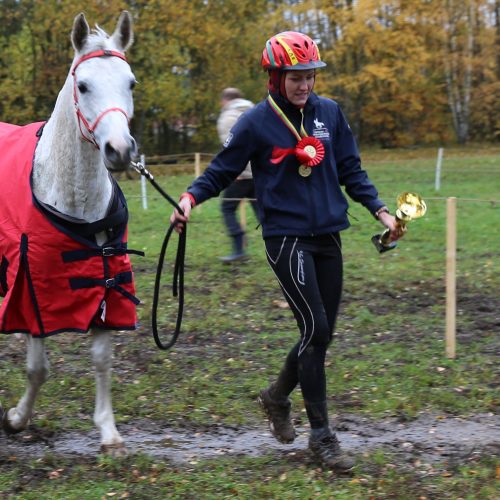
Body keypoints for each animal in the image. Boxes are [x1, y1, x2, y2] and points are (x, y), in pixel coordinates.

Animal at [1, 10, 139, 458]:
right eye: (83, 85)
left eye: (131, 82)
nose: (119, 150)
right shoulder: (31, 291)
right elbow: (37, 368)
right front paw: (16, 419)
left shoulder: (107, 284)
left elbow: (101, 360)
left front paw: (108, 432)